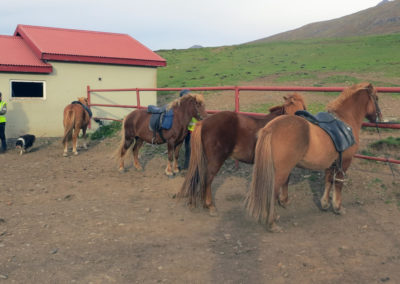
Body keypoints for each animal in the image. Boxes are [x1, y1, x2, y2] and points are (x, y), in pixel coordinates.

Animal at [177, 93, 306, 215]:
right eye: (286, 111)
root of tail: (203, 122)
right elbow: (285, 180)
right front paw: (284, 201)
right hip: (215, 160)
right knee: (207, 178)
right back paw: (210, 206)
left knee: (197, 176)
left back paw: (193, 203)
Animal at [247, 81, 382, 232]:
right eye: (376, 98)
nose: (379, 117)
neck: (346, 120)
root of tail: (270, 128)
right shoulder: (345, 162)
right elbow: (338, 183)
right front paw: (338, 207)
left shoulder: (331, 163)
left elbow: (328, 181)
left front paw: (325, 204)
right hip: (281, 172)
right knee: (272, 193)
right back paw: (272, 223)